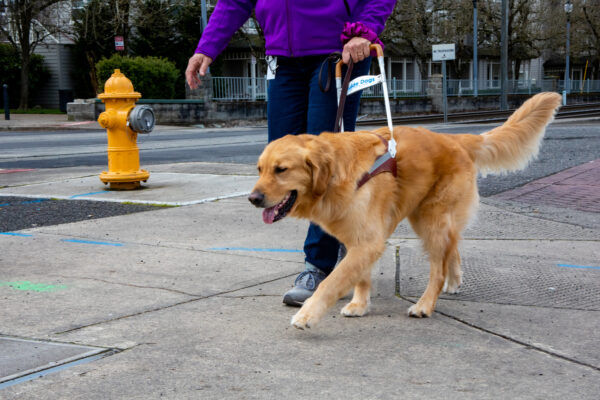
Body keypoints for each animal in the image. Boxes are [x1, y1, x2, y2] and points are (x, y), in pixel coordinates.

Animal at [247, 92, 564, 330]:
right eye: (260, 170)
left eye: (281, 170)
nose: (252, 198)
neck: (335, 175)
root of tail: (457, 139)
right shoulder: (358, 239)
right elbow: (360, 275)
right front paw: (359, 304)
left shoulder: (368, 240)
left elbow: (332, 281)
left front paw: (307, 315)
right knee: (454, 245)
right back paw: (454, 280)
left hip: (431, 221)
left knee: (438, 268)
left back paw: (425, 304)